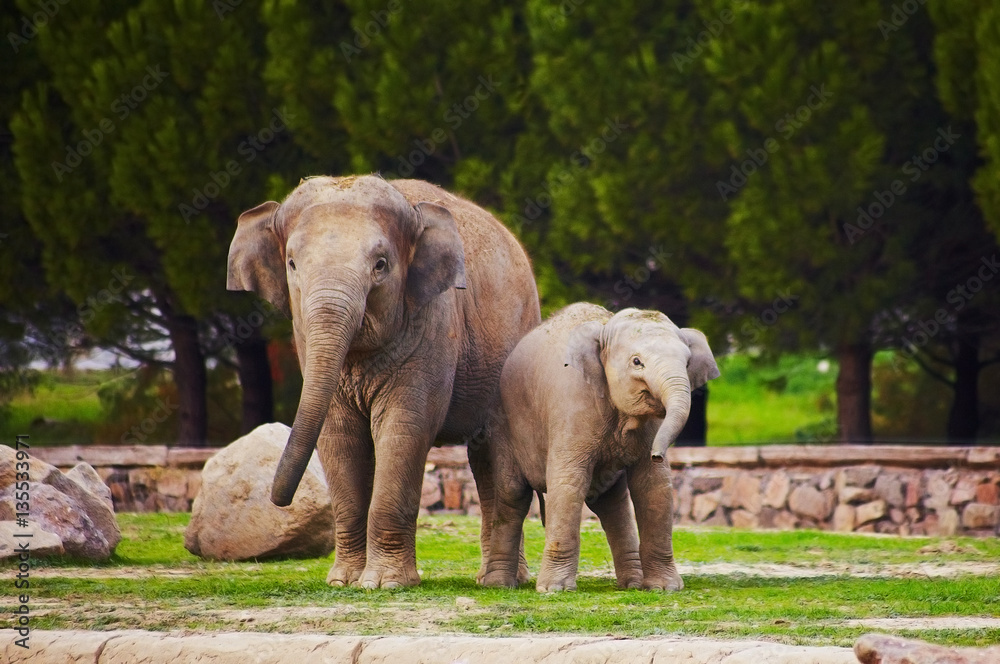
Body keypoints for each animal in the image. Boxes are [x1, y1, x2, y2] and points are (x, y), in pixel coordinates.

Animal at [226, 175, 540, 588]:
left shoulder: (432, 324)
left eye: (381, 265)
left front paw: (385, 583)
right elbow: (337, 434)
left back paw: (496, 582)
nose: (277, 501)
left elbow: (404, 428)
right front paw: (344, 582)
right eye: (292, 264)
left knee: (490, 454)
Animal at [480, 302, 719, 592]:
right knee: (513, 494)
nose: (658, 454)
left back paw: (632, 585)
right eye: (636, 362)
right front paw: (555, 590)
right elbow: (569, 482)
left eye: (686, 363)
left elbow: (653, 486)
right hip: (503, 427)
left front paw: (664, 588)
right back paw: (498, 585)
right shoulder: (571, 401)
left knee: (612, 503)